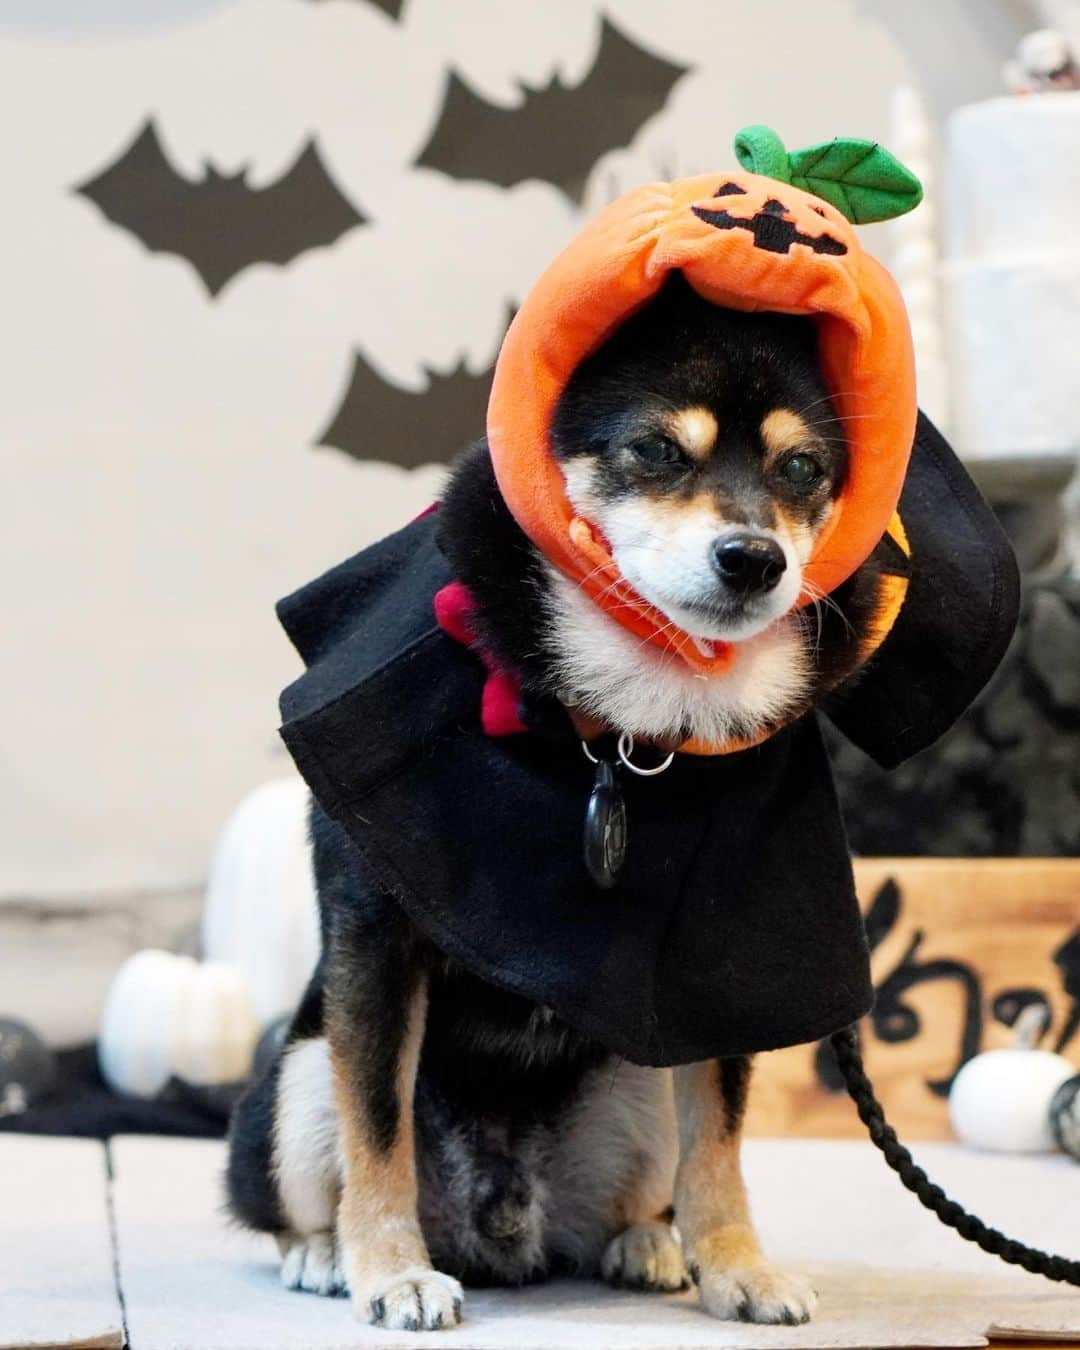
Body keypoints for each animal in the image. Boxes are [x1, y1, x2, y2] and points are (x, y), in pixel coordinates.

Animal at [225, 274, 912, 1328]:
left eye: (802, 469)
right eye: (657, 449)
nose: (754, 557)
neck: (619, 725)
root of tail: (504, 1224)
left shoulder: (727, 965)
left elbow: (719, 1136)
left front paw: (737, 1264)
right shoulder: (375, 932)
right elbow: (374, 1125)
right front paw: (391, 1271)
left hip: (636, 1087)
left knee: (637, 1191)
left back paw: (650, 1246)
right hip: (294, 1079)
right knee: (307, 1172)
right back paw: (328, 1254)